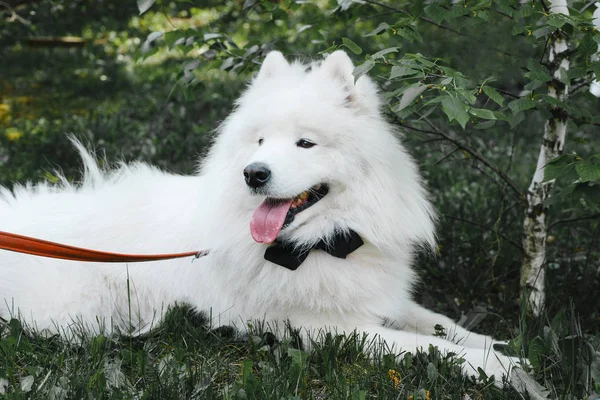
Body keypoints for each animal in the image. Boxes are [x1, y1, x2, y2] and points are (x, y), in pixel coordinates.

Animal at [0, 50, 516, 382]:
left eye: (305, 143)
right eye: (261, 141)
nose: (253, 173)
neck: (322, 241)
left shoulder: (376, 299)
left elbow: (440, 324)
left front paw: (498, 347)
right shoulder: (323, 329)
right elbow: (427, 346)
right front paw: (501, 369)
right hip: (78, 312)